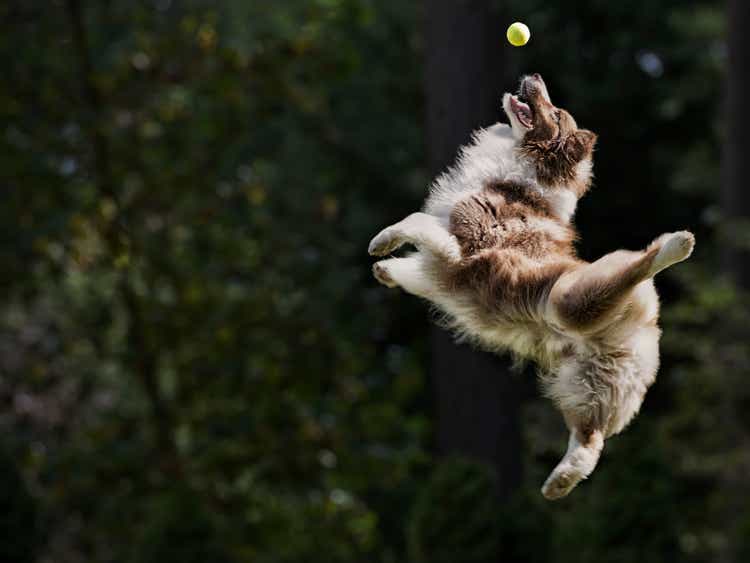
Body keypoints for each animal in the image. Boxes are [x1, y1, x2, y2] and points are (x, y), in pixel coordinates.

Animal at [368, 74, 696, 498]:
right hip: (587, 384)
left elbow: (414, 219)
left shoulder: (460, 244)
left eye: (554, 112)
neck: (525, 171)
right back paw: (559, 483)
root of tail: (647, 320)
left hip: (569, 303)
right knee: (590, 439)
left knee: (635, 268)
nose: (535, 77)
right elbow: (416, 265)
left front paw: (381, 243)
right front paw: (386, 270)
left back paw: (674, 244)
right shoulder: (441, 267)